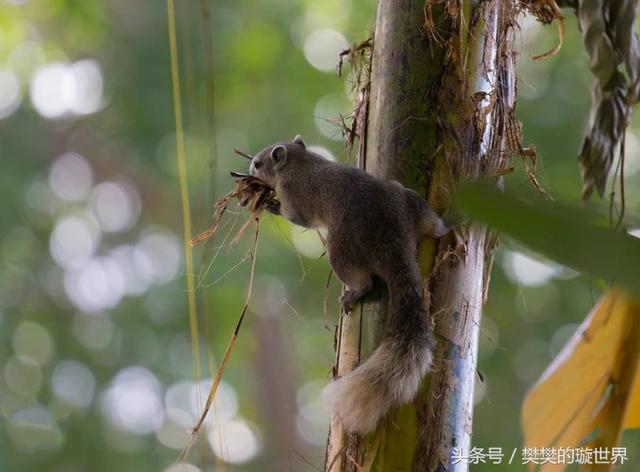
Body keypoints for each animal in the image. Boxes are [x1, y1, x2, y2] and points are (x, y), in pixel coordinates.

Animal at [244, 135, 450, 434]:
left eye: (259, 164)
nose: (248, 171)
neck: (300, 162)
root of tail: (397, 245)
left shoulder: (295, 196)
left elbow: (300, 218)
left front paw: (273, 205)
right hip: (409, 200)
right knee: (431, 223)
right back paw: (444, 227)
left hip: (342, 249)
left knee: (363, 280)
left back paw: (354, 294)